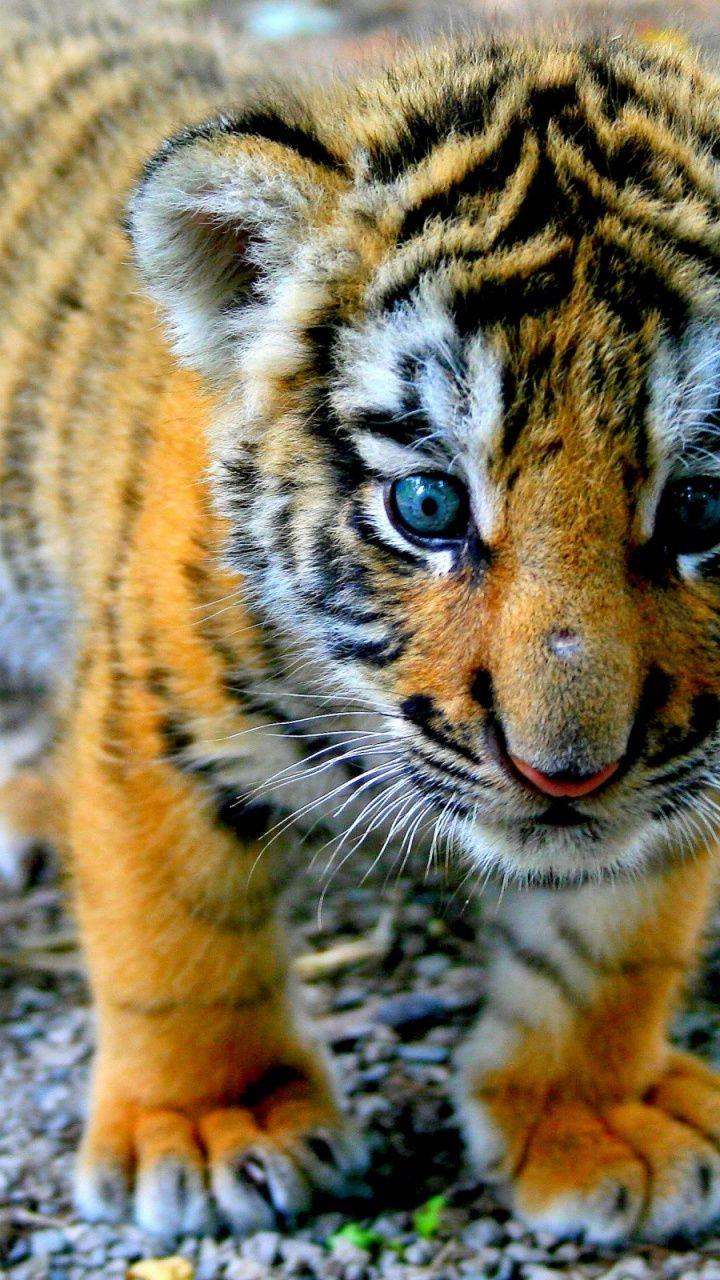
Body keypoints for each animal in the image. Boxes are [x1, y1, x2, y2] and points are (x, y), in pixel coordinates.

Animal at [5, 10, 720, 1246]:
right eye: (427, 505)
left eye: (703, 510)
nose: (566, 773)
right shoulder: (154, 714)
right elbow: (175, 932)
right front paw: (210, 1125)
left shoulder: (685, 759)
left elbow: (612, 943)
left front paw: (596, 1113)